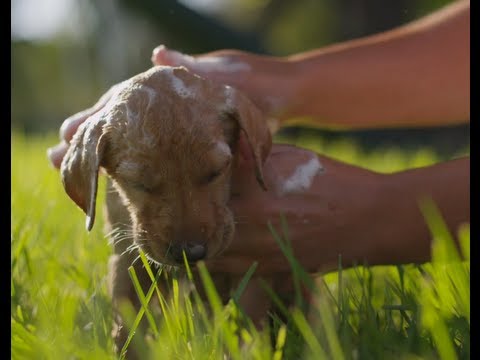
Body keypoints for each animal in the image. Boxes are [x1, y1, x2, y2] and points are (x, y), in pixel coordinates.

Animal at [60, 65, 280, 354]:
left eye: (217, 171)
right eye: (137, 183)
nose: (190, 253)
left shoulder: (252, 267)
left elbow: (245, 325)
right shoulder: (127, 262)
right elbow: (127, 327)